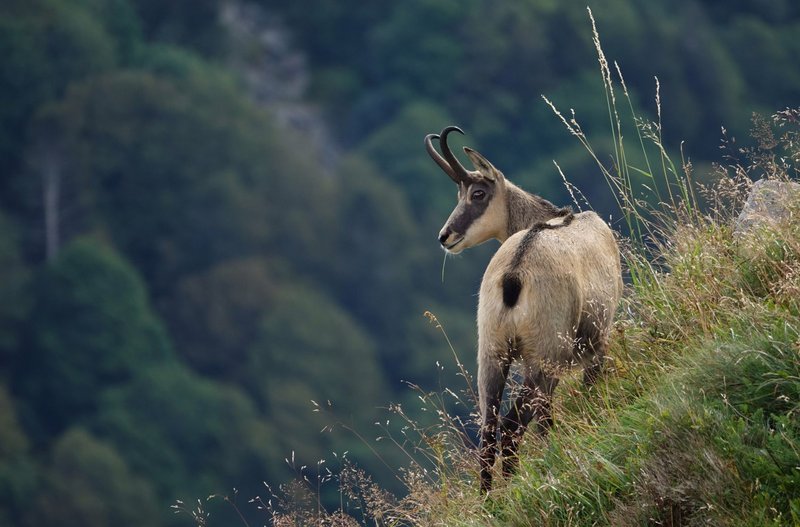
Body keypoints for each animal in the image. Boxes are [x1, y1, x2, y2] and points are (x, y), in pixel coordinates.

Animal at [425, 126, 623, 492]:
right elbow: (579, 394)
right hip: (543, 354)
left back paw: (491, 496)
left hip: (492, 352)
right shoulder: (595, 342)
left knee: (490, 428)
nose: (445, 236)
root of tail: (514, 274)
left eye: (477, 194)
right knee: (514, 424)